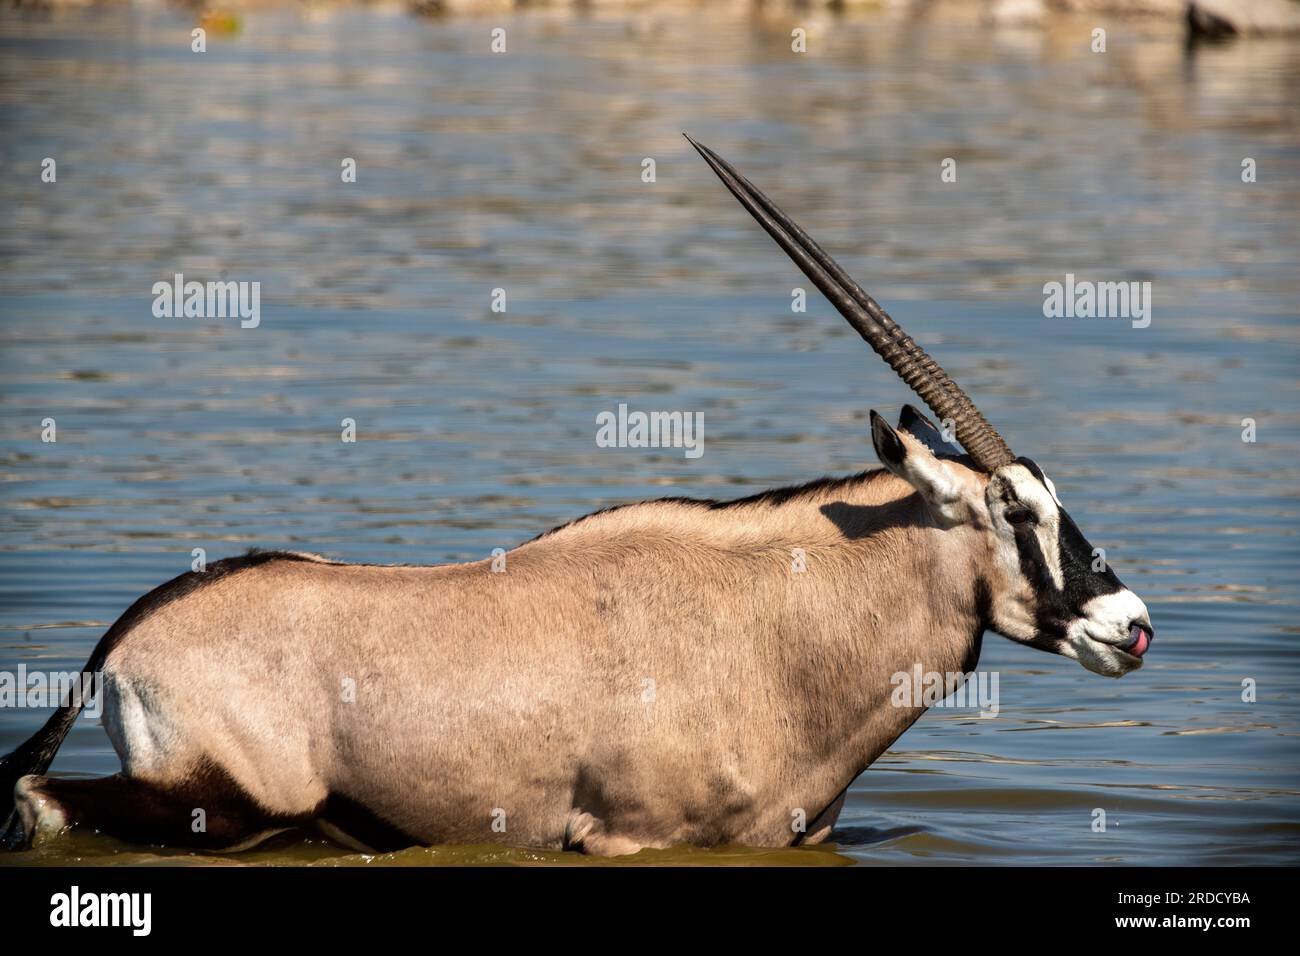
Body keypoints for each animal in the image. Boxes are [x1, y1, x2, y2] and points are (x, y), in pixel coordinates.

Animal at [0, 140, 1159, 858]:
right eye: (1015, 510)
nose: (1133, 624)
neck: (781, 622)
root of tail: (132, 630)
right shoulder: (633, 836)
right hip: (216, 801)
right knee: (42, 802)